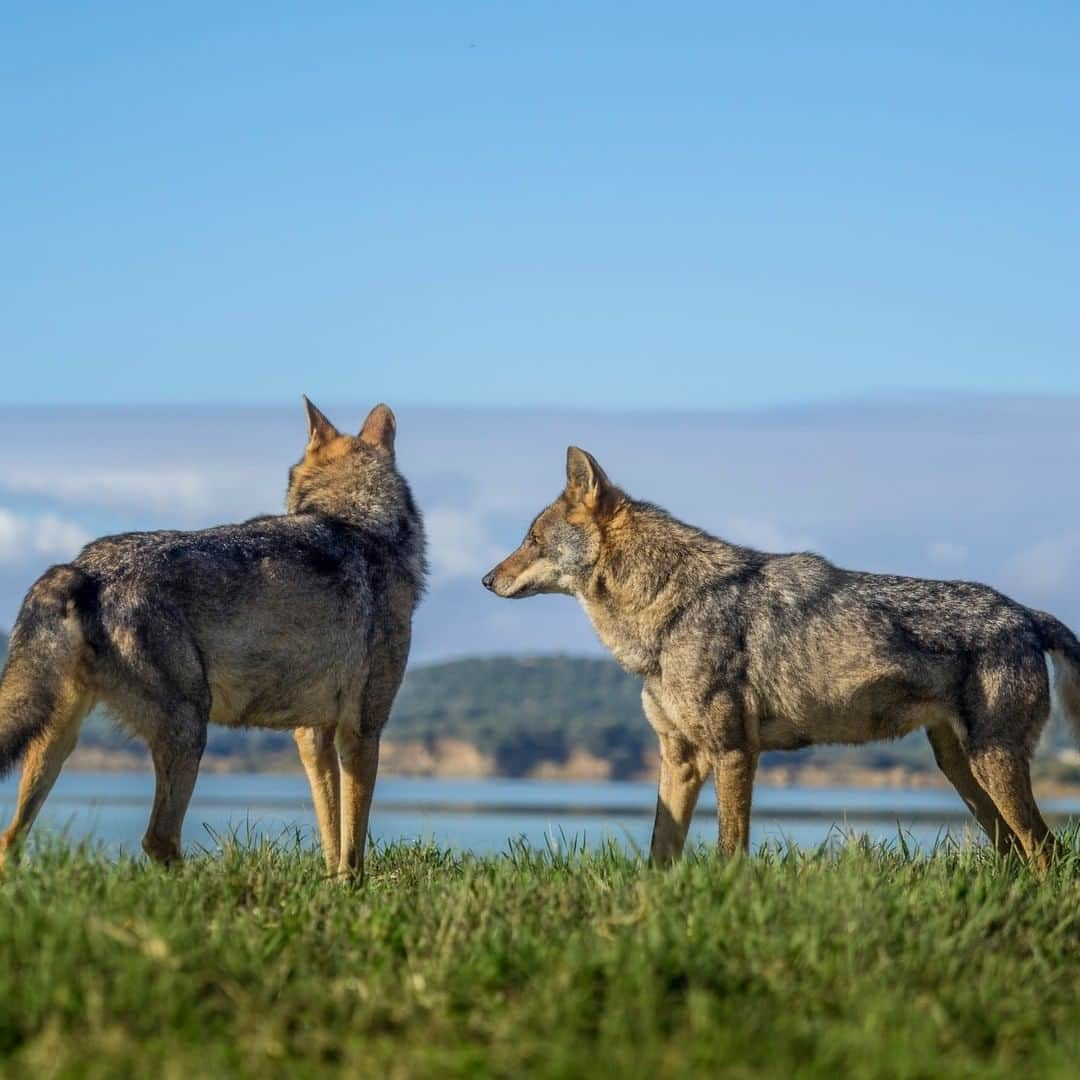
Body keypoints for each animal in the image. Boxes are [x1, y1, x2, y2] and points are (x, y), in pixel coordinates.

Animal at [0, 397, 427, 876]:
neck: (357, 525)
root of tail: (82, 567)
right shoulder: (362, 731)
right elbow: (354, 848)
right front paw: (351, 889)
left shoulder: (312, 736)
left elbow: (332, 836)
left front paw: (330, 885)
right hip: (190, 730)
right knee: (157, 839)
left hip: (56, 741)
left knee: (11, 836)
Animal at [483, 447, 1080, 868]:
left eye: (532, 540)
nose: (486, 580)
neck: (672, 607)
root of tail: (1026, 613)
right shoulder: (679, 757)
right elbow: (659, 853)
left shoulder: (732, 751)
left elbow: (730, 850)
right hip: (963, 772)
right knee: (1018, 852)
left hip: (990, 764)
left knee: (1046, 851)